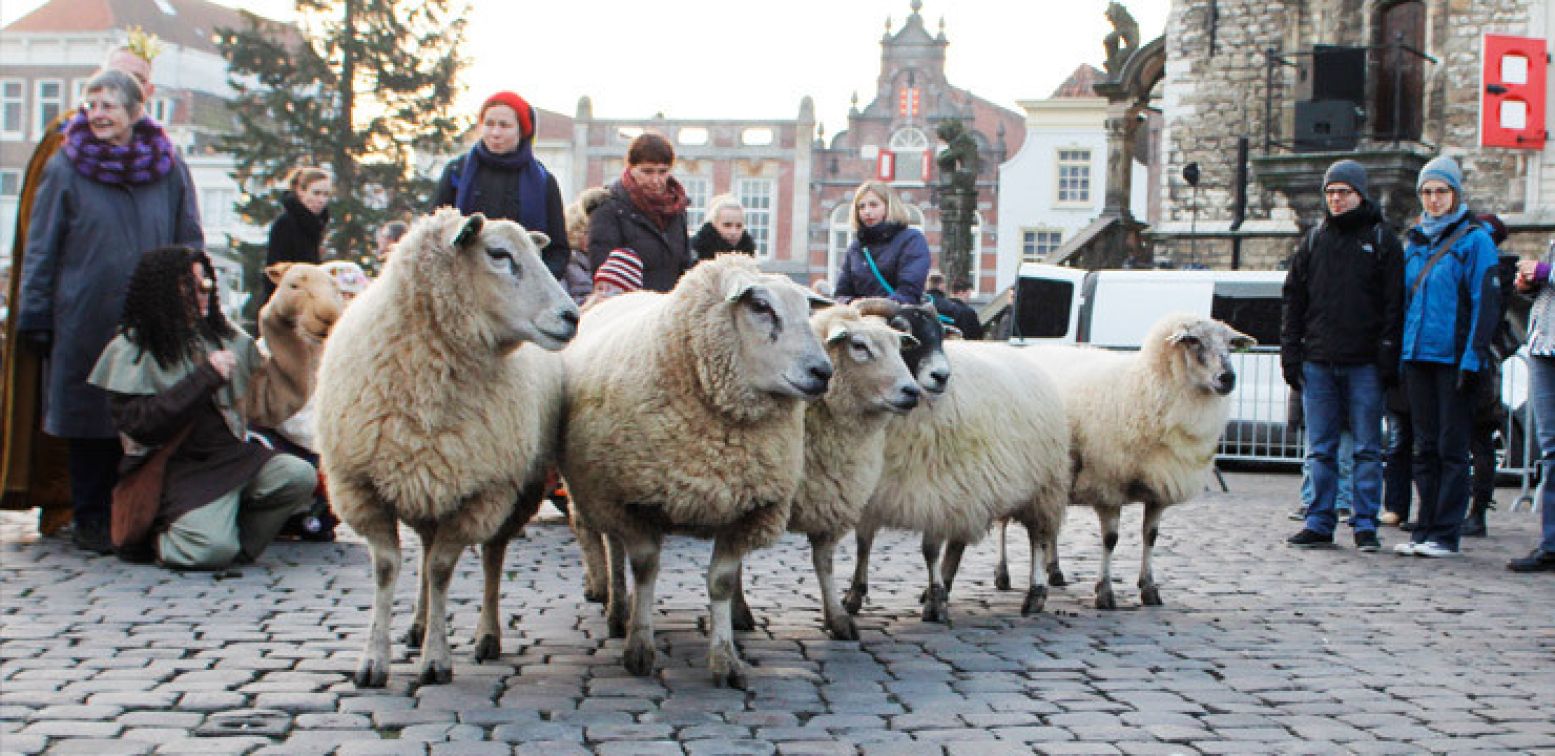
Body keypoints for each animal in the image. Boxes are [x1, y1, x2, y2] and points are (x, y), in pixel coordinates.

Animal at [312, 210, 581, 687]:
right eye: (499, 254)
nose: (572, 317)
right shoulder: (360, 486)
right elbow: (389, 568)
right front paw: (373, 660)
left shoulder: (481, 493)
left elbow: (441, 570)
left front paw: (436, 660)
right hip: (428, 481)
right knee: (422, 551)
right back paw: (417, 627)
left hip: (511, 491)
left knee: (491, 557)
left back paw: (486, 635)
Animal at [562, 255, 839, 690]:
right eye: (761, 306)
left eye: (807, 310)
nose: (822, 372)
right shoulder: (634, 502)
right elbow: (645, 569)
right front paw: (639, 649)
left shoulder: (748, 508)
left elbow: (721, 582)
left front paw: (725, 659)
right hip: (599, 496)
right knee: (613, 550)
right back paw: (617, 611)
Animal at [1007, 311, 1262, 609]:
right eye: (1193, 341)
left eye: (1230, 344)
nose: (1228, 378)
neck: (1145, 386)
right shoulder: (1107, 484)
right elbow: (1110, 539)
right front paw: (1105, 592)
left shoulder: (1160, 487)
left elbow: (1150, 537)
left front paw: (1149, 588)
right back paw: (1005, 576)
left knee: (1049, 527)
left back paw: (1054, 571)